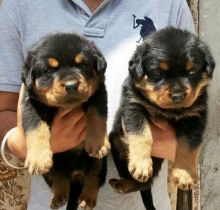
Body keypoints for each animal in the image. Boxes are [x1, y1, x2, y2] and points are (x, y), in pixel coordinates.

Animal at [21, 32, 109, 210]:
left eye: (83, 65)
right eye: (49, 70)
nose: (71, 85)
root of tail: (76, 174)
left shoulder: (98, 94)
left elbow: (96, 117)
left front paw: (98, 143)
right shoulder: (32, 105)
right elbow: (36, 128)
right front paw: (38, 158)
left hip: (100, 162)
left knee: (94, 175)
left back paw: (87, 198)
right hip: (55, 163)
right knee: (59, 176)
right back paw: (58, 197)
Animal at [109, 27, 216, 209]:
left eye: (192, 71)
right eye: (158, 73)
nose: (178, 96)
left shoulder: (195, 116)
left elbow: (188, 145)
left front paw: (184, 174)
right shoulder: (133, 106)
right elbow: (141, 134)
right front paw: (141, 164)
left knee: (145, 183)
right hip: (116, 141)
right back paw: (122, 183)